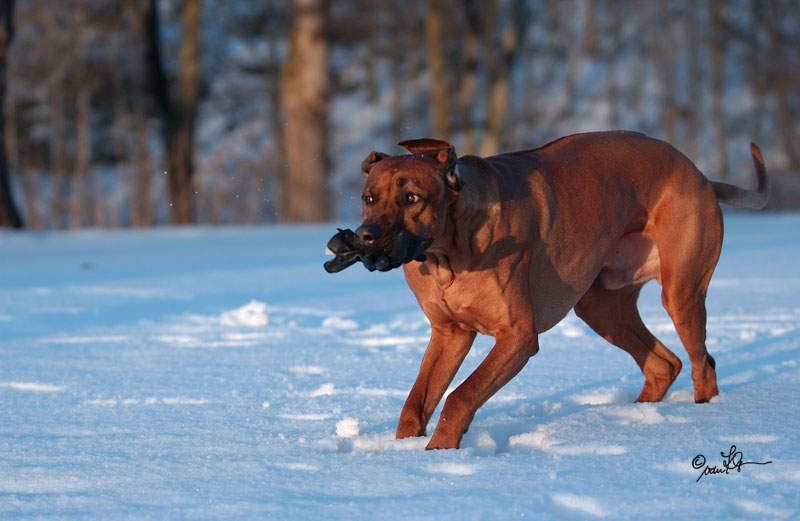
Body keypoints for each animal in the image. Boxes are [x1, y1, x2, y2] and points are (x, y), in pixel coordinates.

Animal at [354, 132, 768, 448]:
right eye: (368, 198)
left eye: (412, 198)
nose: (364, 236)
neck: (447, 255)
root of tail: (700, 174)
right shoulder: (449, 333)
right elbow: (415, 404)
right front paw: (404, 454)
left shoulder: (518, 336)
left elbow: (460, 397)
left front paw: (439, 453)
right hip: (600, 306)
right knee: (663, 365)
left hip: (681, 293)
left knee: (703, 365)